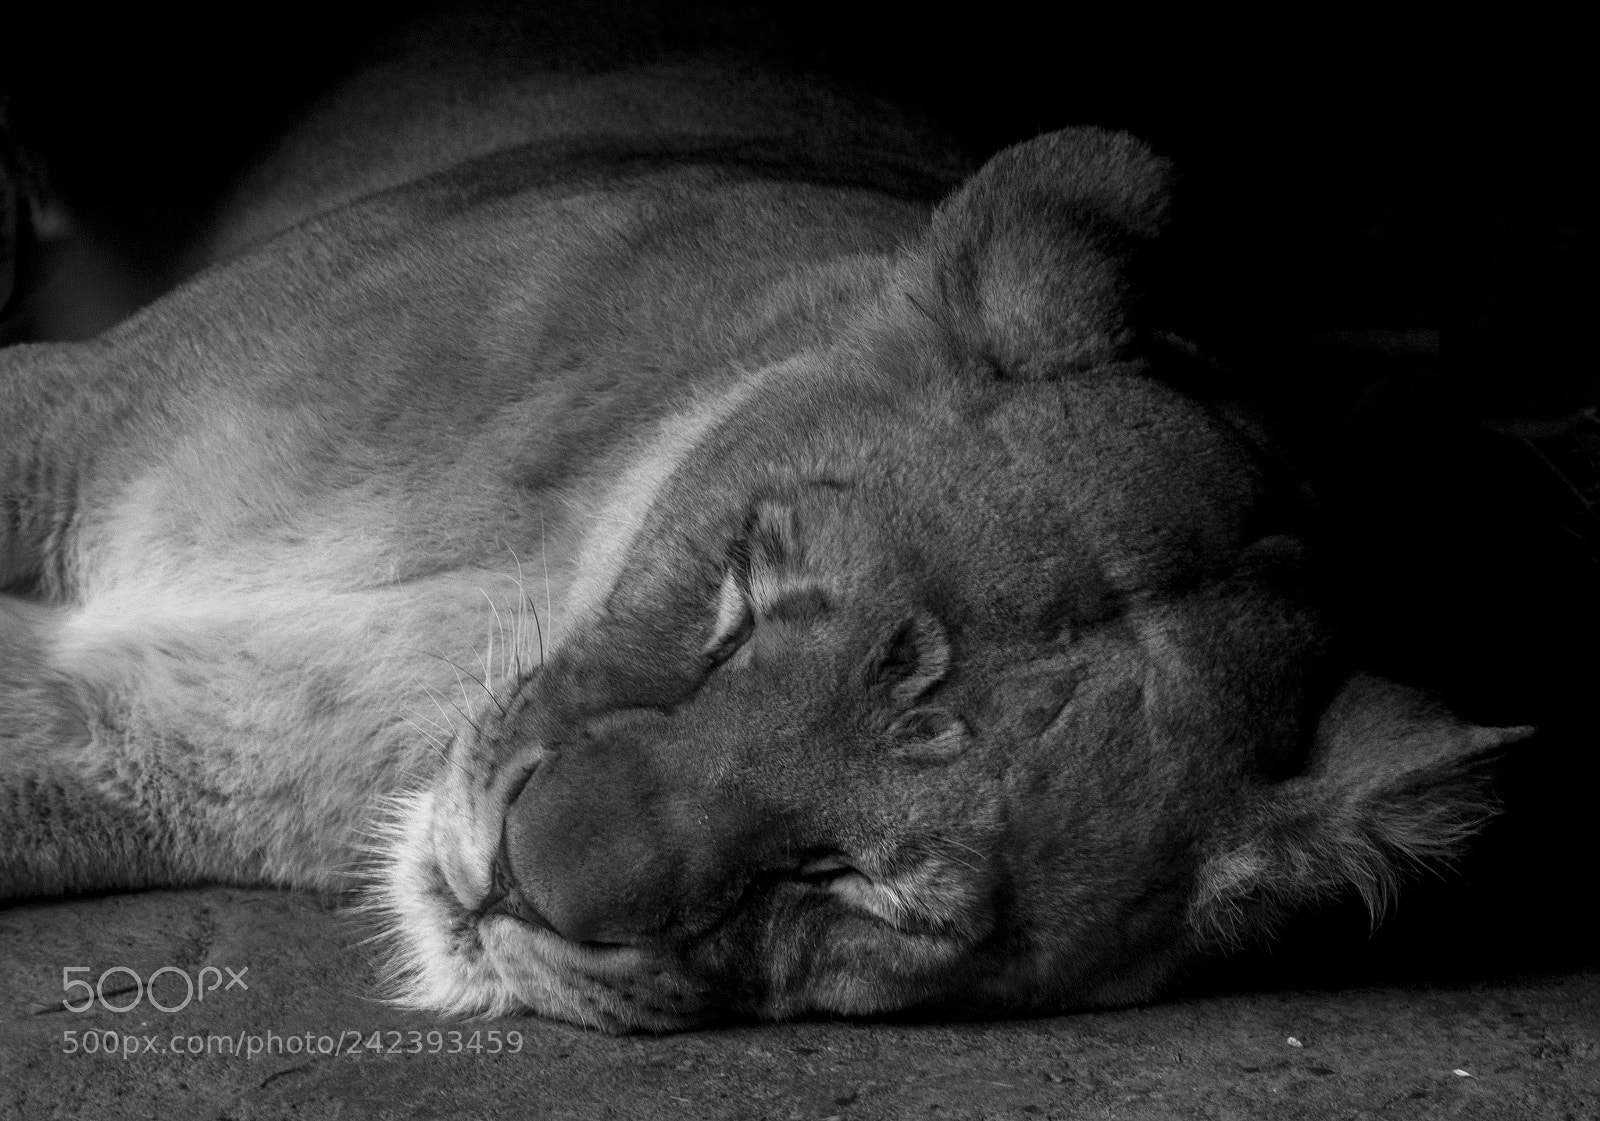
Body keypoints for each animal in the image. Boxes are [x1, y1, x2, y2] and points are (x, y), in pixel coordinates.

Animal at [0, 15, 1525, 1032]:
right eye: (742, 603)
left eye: (856, 886)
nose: (514, 883)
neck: (510, 587)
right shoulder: (68, 416)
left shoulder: (145, 745)